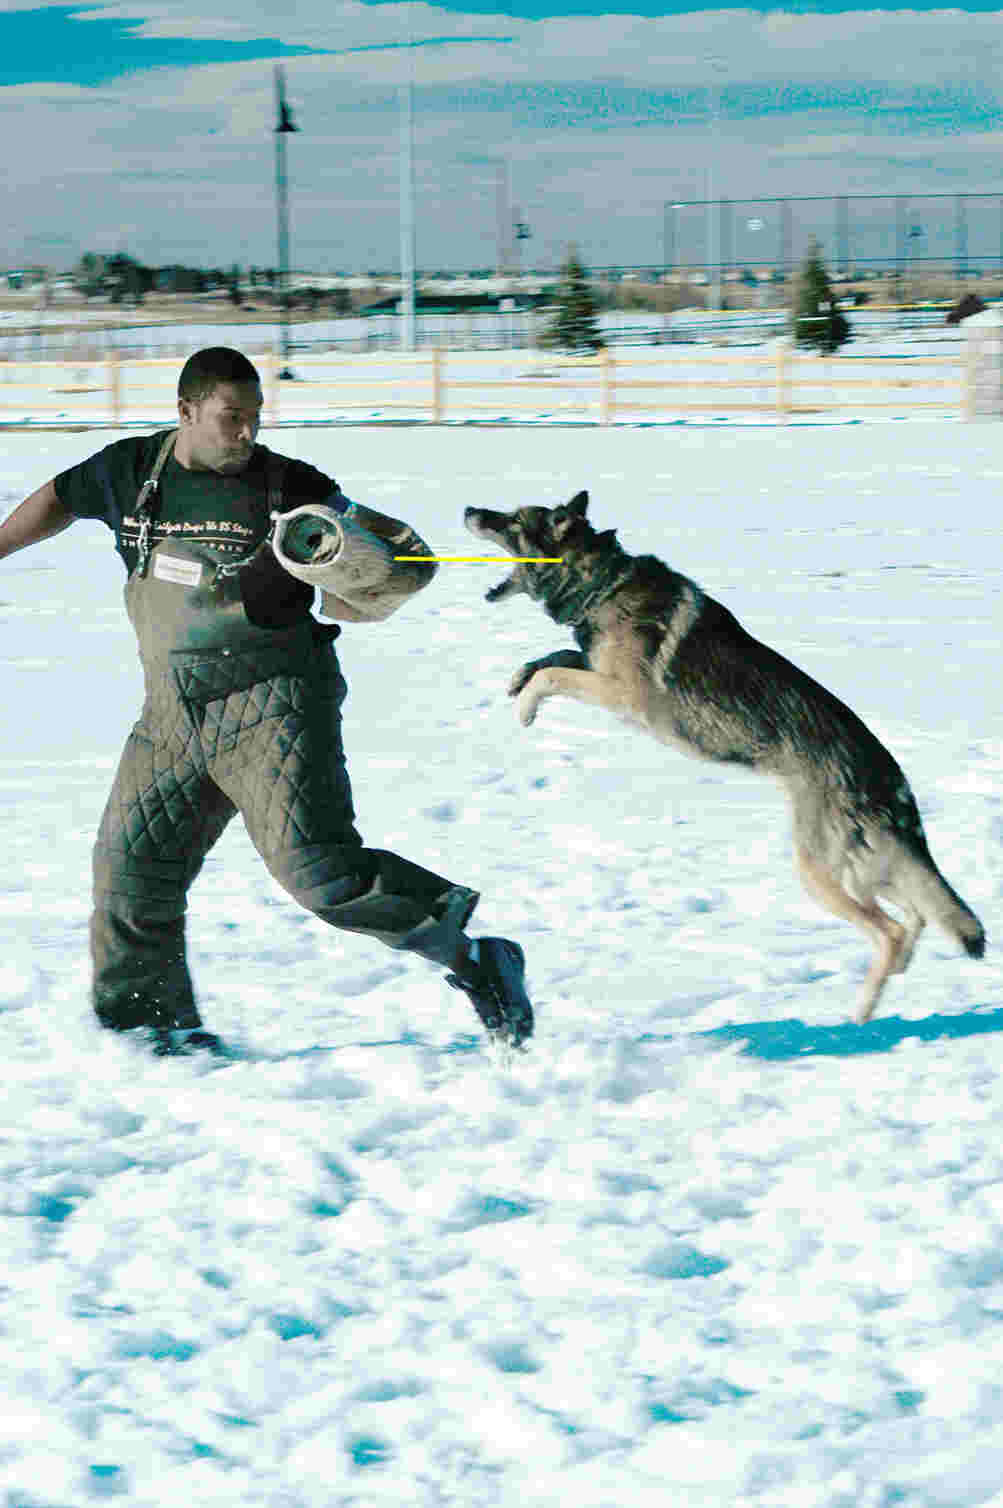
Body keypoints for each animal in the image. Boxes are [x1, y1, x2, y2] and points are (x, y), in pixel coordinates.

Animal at [464, 490, 985, 1023]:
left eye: (512, 521)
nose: (469, 511)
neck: (602, 583)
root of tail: (891, 782)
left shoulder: (623, 694)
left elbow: (555, 674)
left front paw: (526, 706)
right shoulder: (596, 669)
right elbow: (555, 658)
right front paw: (519, 678)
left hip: (821, 871)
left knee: (893, 930)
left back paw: (860, 1013)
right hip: (863, 868)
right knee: (920, 914)